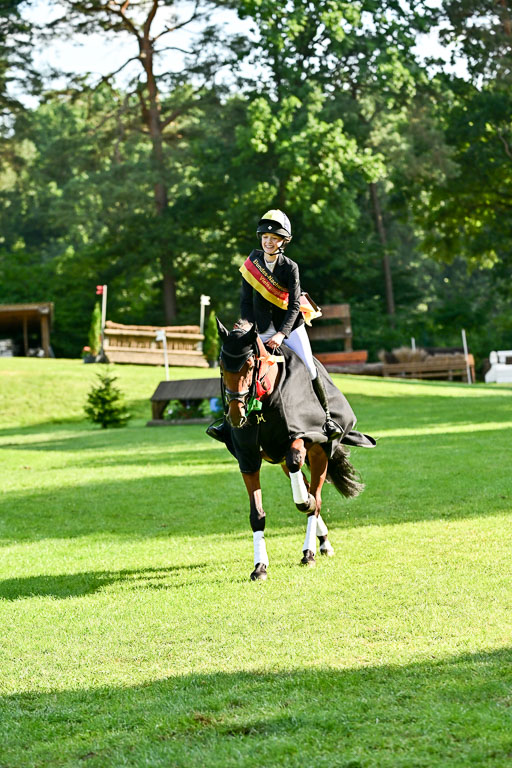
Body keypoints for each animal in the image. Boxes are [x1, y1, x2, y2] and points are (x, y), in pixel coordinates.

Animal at [208, 318, 375, 581]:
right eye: (223, 366)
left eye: (249, 364)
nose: (236, 415)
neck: (263, 403)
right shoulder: (248, 458)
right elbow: (257, 515)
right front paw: (260, 567)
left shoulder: (302, 438)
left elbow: (299, 469)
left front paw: (305, 504)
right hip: (283, 462)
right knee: (305, 486)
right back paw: (322, 541)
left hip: (320, 453)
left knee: (315, 497)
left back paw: (310, 551)